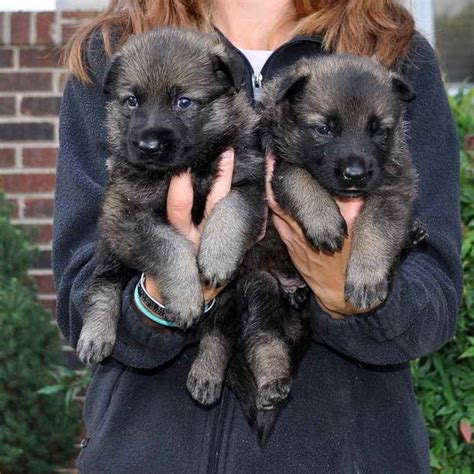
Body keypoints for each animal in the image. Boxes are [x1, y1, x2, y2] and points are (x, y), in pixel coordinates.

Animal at [75, 27, 264, 362]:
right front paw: (186, 297)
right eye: (132, 101)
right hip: (110, 244)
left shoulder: (250, 185)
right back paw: (96, 334)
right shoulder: (127, 215)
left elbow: (231, 208)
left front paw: (218, 256)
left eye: (183, 102)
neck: (194, 166)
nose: (148, 146)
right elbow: (170, 246)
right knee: (103, 284)